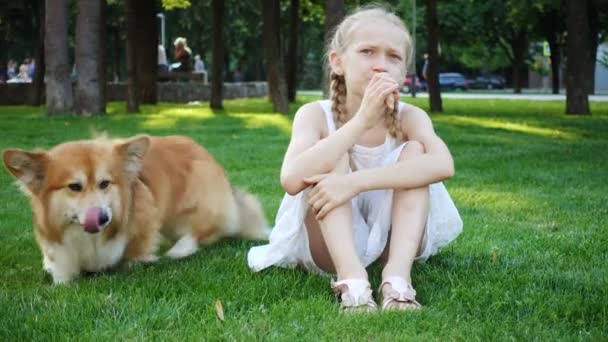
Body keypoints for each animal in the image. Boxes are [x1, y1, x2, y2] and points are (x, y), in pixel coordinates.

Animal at [1, 135, 268, 284]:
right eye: (74, 187)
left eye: (105, 183)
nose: (102, 218)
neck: (86, 236)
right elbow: (59, 265)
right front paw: (59, 276)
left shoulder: (146, 215)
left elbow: (136, 250)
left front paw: (136, 263)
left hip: (194, 205)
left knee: (206, 229)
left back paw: (179, 250)